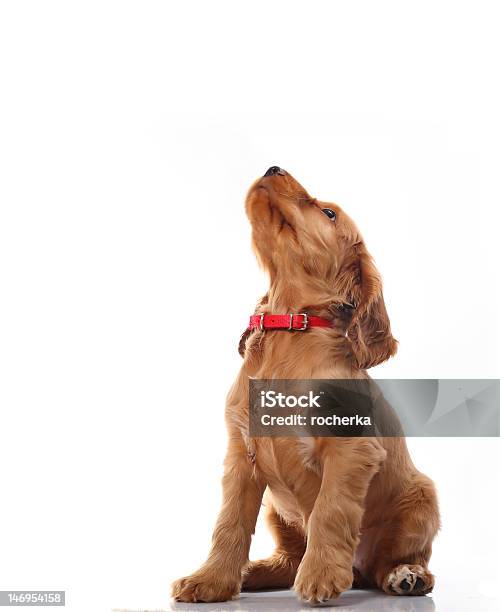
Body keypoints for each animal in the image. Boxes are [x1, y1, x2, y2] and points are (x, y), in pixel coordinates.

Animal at [172, 166, 438, 604]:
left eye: (329, 213)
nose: (272, 168)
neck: (289, 329)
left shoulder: (351, 447)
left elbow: (330, 511)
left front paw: (321, 577)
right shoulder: (240, 456)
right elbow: (229, 523)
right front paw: (210, 580)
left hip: (422, 498)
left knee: (394, 560)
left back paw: (406, 575)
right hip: (276, 510)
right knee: (290, 556)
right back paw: (254, 572)